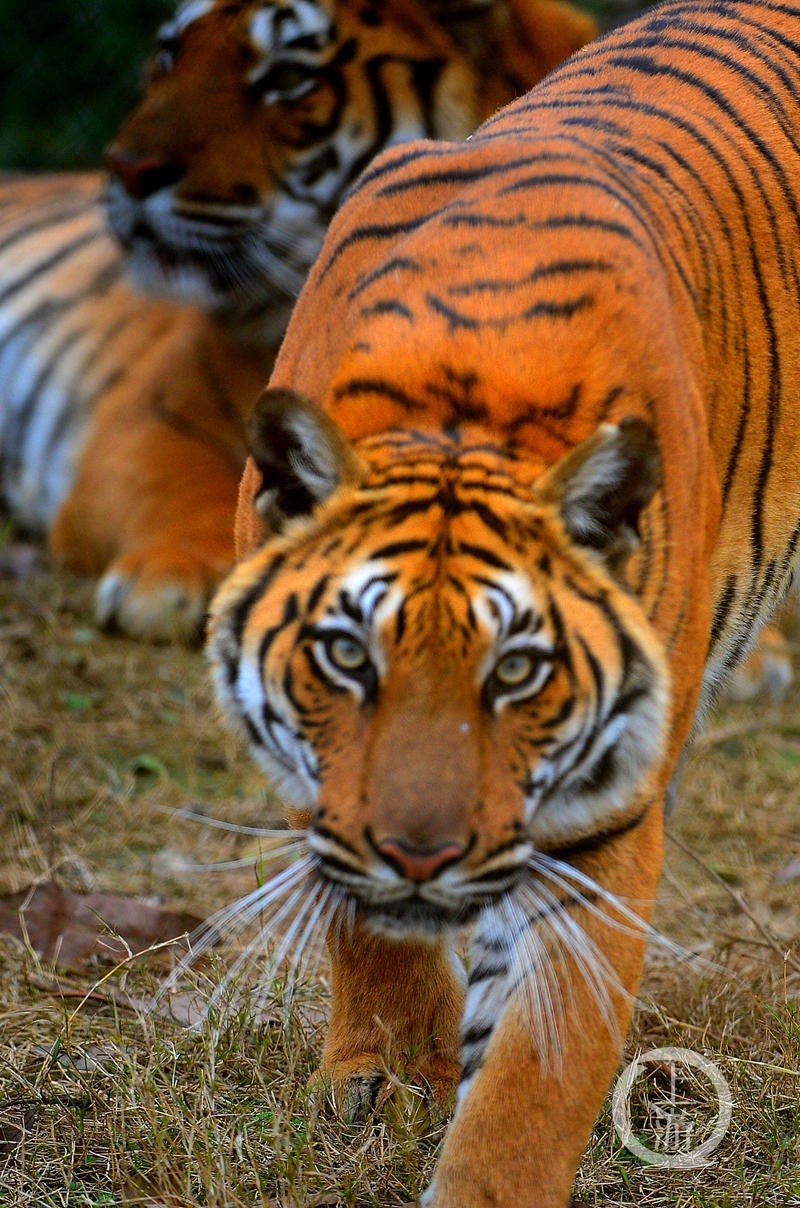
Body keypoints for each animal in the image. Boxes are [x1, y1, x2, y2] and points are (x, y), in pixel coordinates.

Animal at [0, 0, 599, 642]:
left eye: (287, 78)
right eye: (169, 57)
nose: (126, 170)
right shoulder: (151, 423)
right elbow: (184, 491)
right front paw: (168, 580)